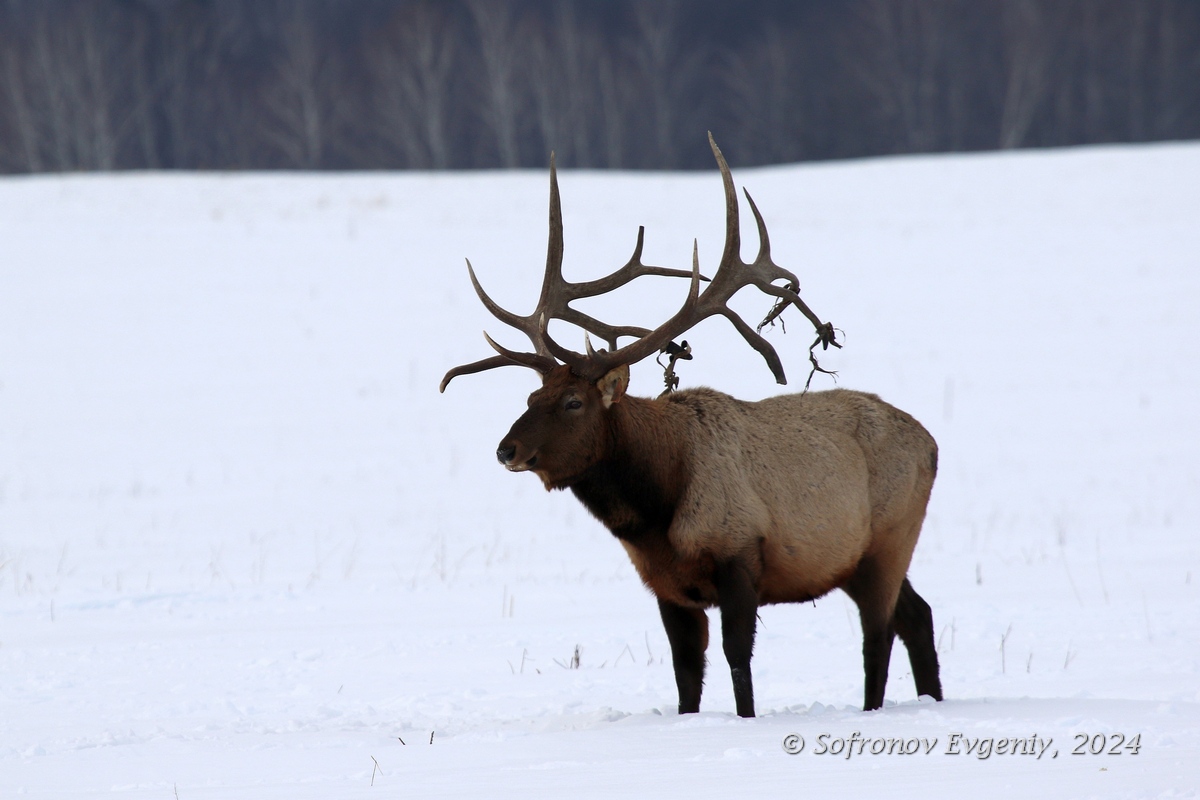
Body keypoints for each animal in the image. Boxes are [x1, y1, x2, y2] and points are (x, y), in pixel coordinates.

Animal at [444, 134, 945, 714]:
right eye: (530, 395)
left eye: (572, 402)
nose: (507, 449)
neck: (656, 511)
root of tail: (933, 444)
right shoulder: (666, 585)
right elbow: (686, 673)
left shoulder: (740, 553)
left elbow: (737, 660)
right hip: (861, 556)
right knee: (918, 614)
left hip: (889, 537)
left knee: (878, 636)